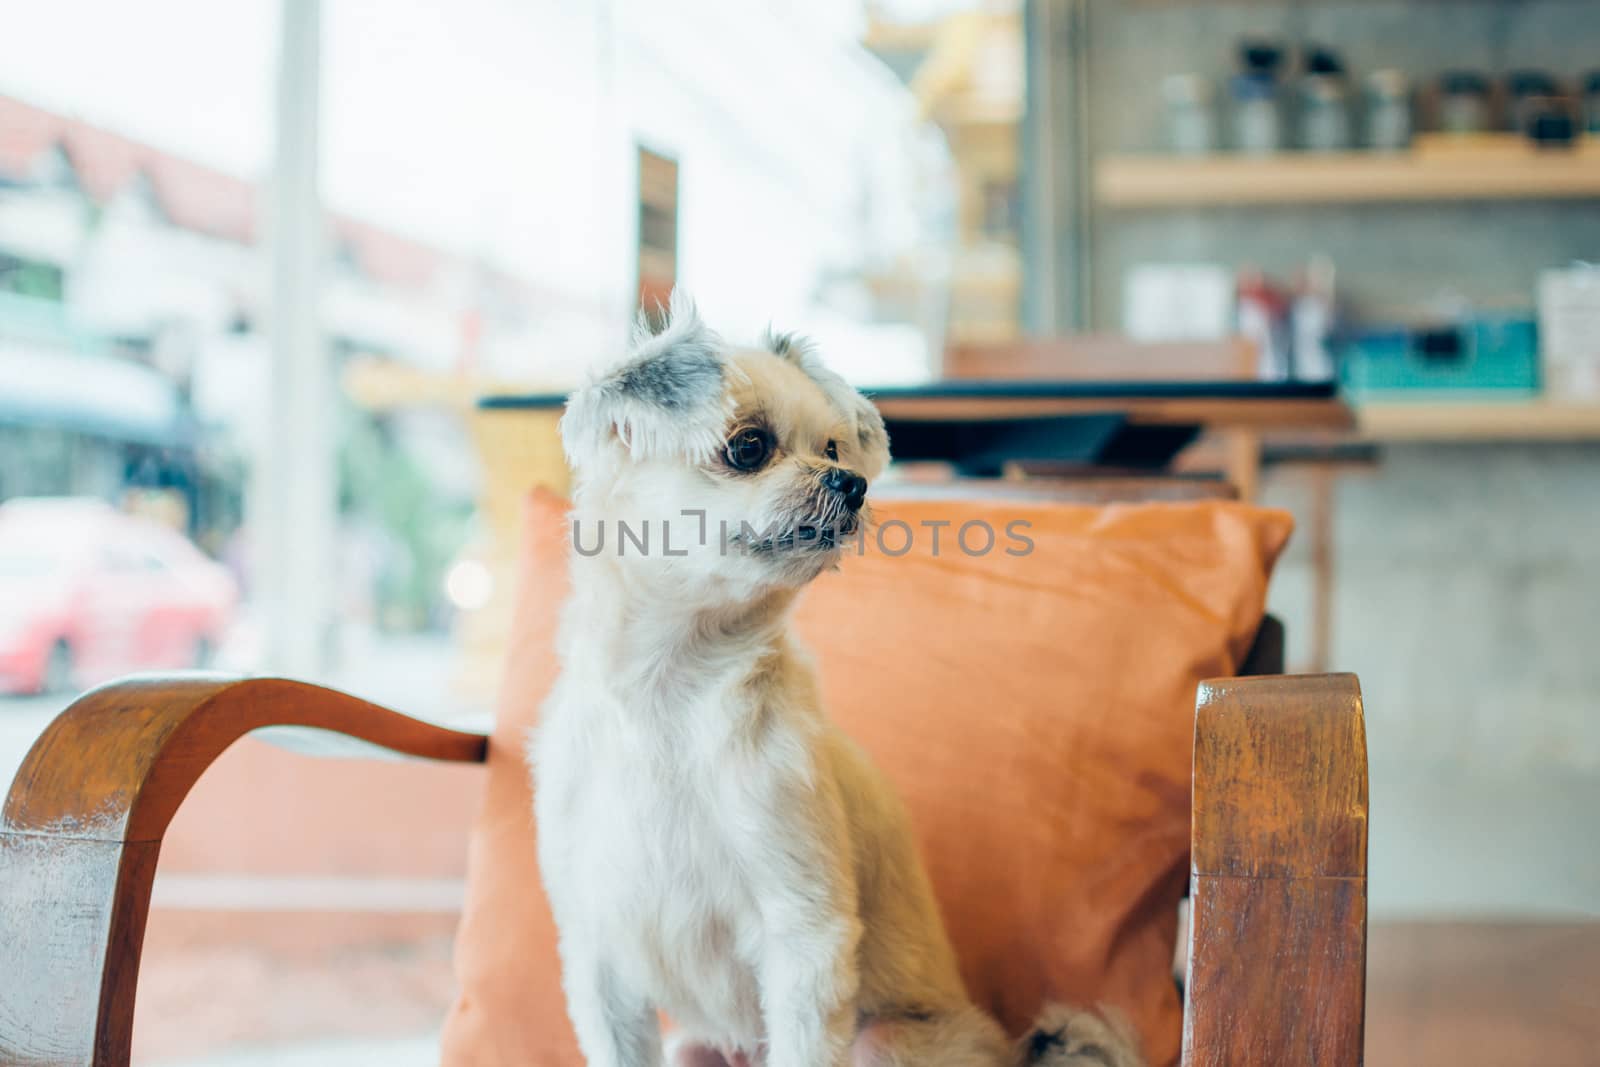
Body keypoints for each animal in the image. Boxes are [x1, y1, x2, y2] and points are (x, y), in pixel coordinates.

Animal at [531, 295, 1145, 1067]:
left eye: (831, 449)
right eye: (748, 446)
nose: (850, 484)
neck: (669, 698)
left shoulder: (803, 928)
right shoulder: (598, 953)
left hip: (881, 1041)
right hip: (696, 1046)